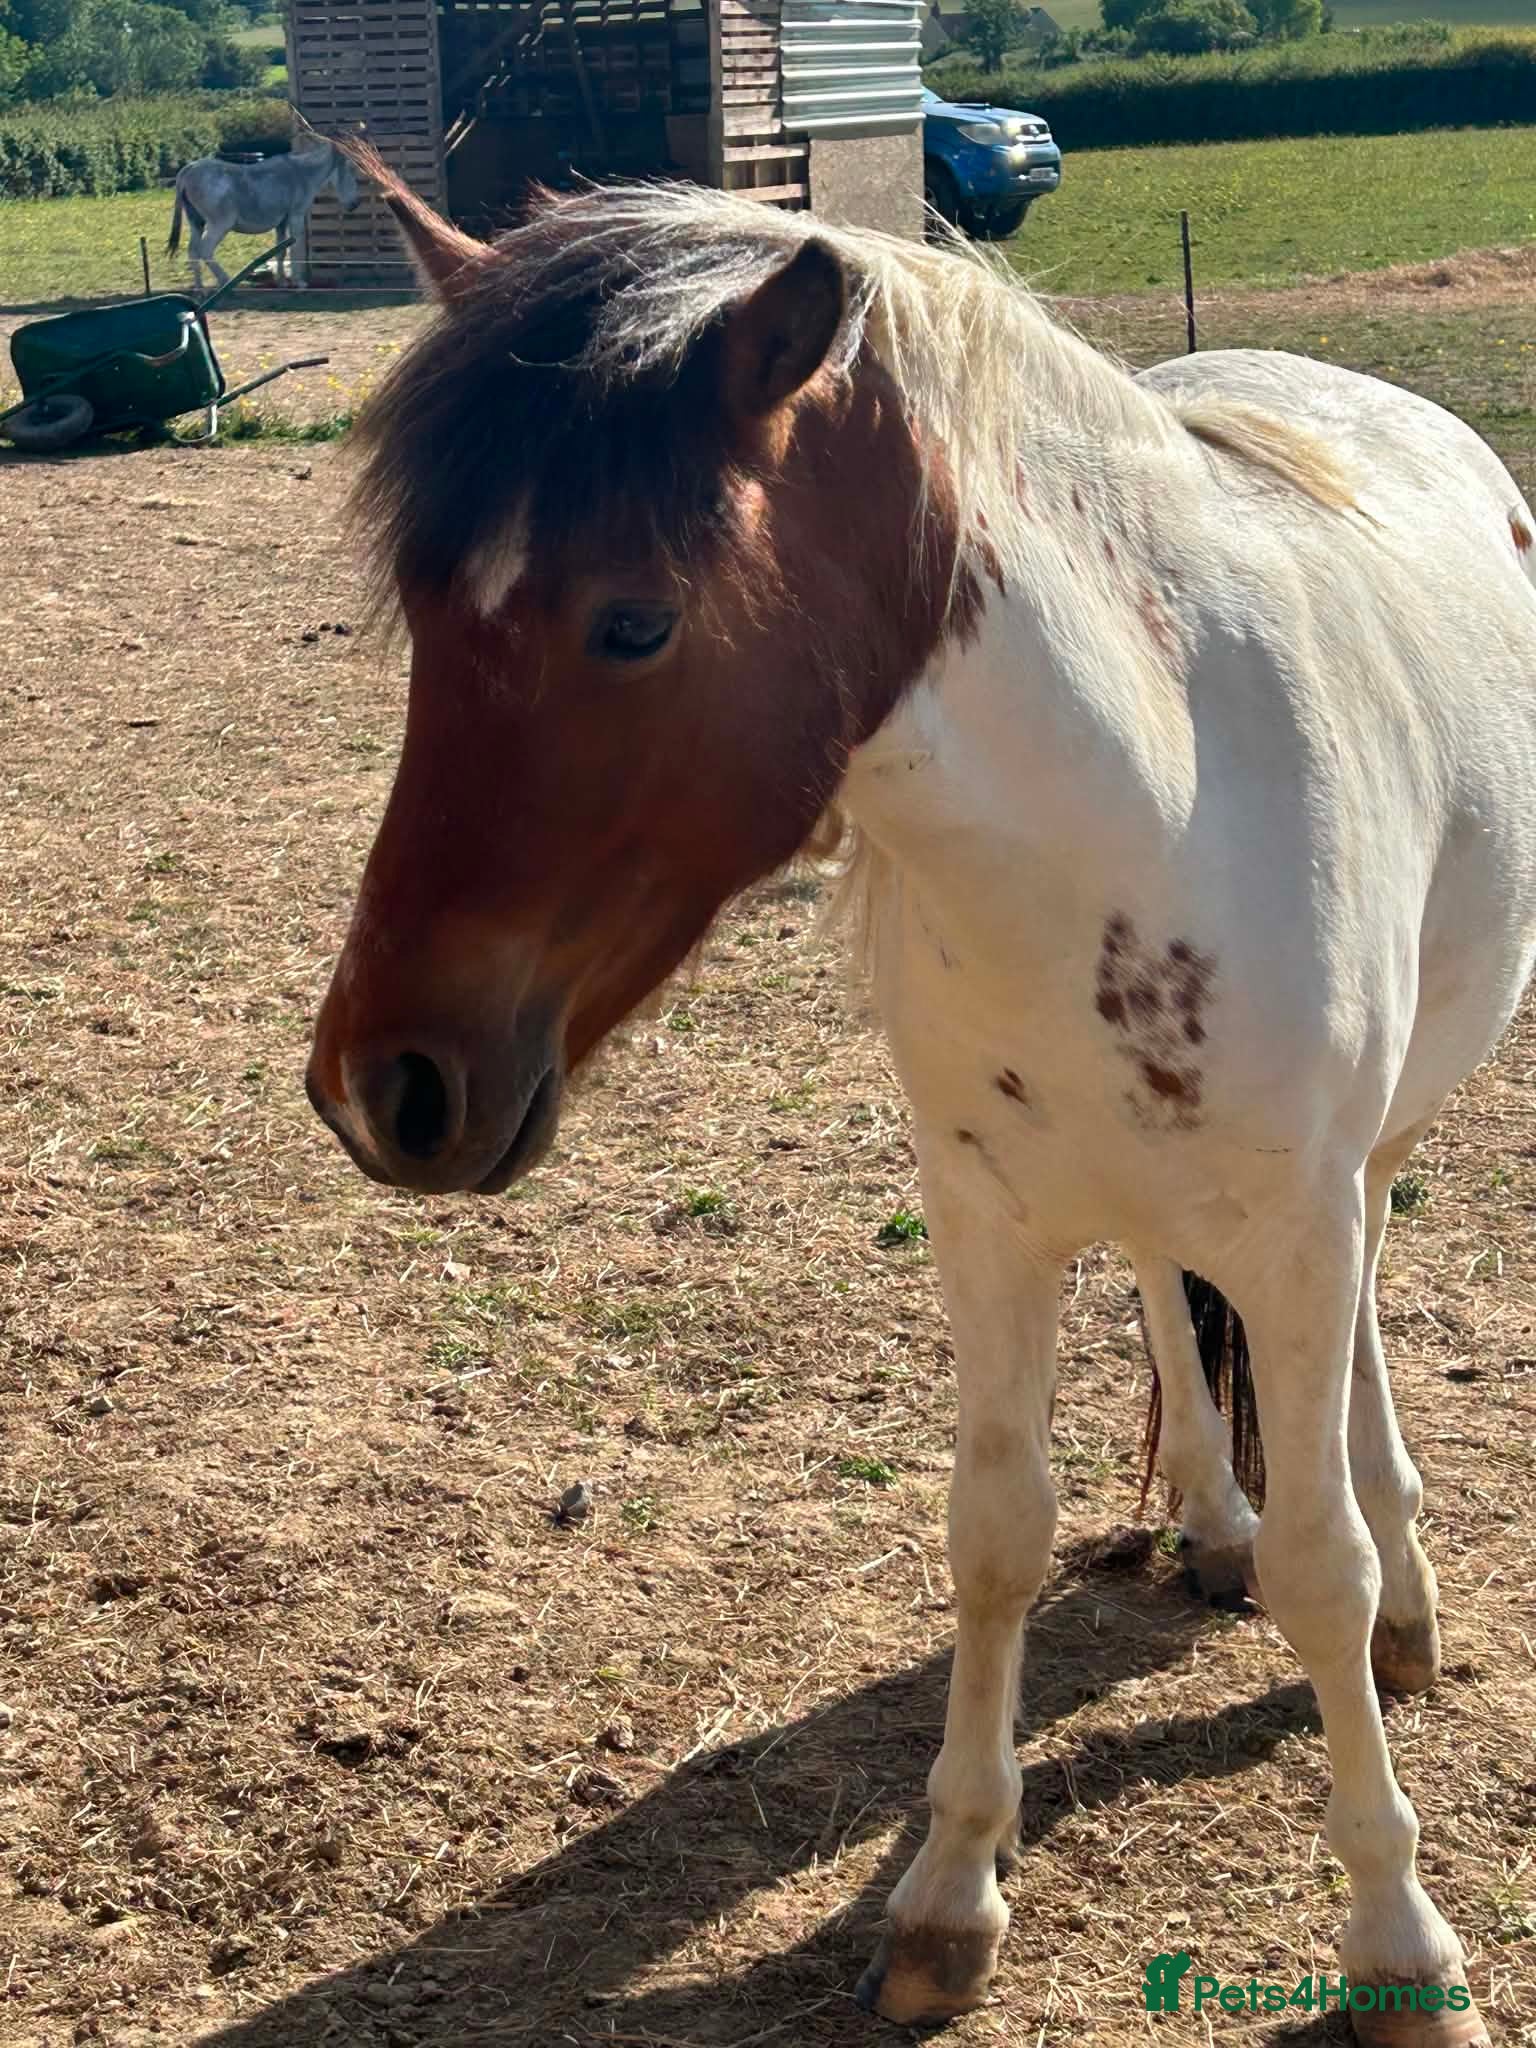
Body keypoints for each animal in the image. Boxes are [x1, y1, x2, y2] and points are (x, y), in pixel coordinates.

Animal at [166, 138, 361, 292]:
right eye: (351, 170)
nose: (355, 205)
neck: (302, 174)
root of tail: (188, 169)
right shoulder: (296, 216)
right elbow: (295, 250)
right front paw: (299, 283)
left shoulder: (282, 222)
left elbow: (281, 251)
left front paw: (282, 282)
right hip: (219, 224)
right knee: (205, 250)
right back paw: (225, 282)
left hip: (196, 221)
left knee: (193, 251)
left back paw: (200, 289)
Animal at [304, 152, 1536, 2047]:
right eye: (430, 618)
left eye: (636, 621)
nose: (389, 1085)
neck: (1149, 798)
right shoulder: (985, 1211)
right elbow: (994, 1536)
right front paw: (953, 1892)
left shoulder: (1297, 1211)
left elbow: (1322, 1565)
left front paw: (1399, 1934)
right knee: (1173, 1307)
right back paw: (1212, 1519)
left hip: (1368, 1158)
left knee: (1362, 1347)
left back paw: (1403, 1599)